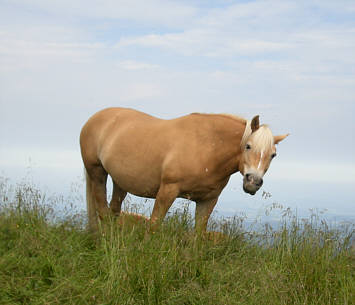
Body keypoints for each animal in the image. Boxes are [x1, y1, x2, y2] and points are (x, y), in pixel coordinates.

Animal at [80, 108, 290, 232]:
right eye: (248, 146)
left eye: (273, 155)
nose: (253, 182)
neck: (207, 147)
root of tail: (95, 118)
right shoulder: (167, 191)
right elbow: (154, 226)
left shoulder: (208, 201)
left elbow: (199, 235)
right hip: (97, 172)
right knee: (102, 210)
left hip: (120, 182)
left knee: (114, 210)